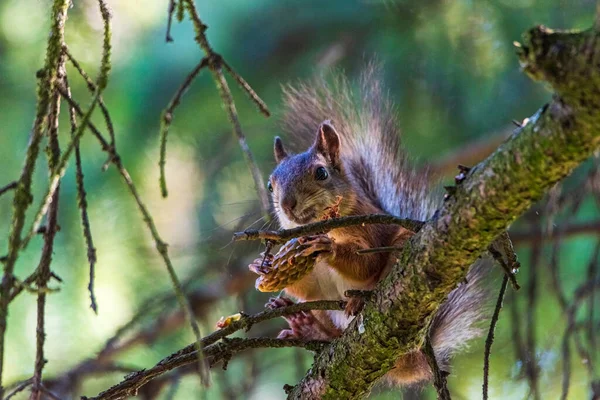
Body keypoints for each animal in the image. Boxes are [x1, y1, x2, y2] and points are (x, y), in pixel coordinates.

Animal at [248, 65, 488, 388]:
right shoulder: (311, 281)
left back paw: (358, 303)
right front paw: (261, 267)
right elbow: (307, 287)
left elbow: (366, 263)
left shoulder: (367, 232)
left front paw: (327, 248)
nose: (287, 205)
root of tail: (409, 360)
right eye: (270, 184)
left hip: (401, 250)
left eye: (321, 173)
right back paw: (308, 327)